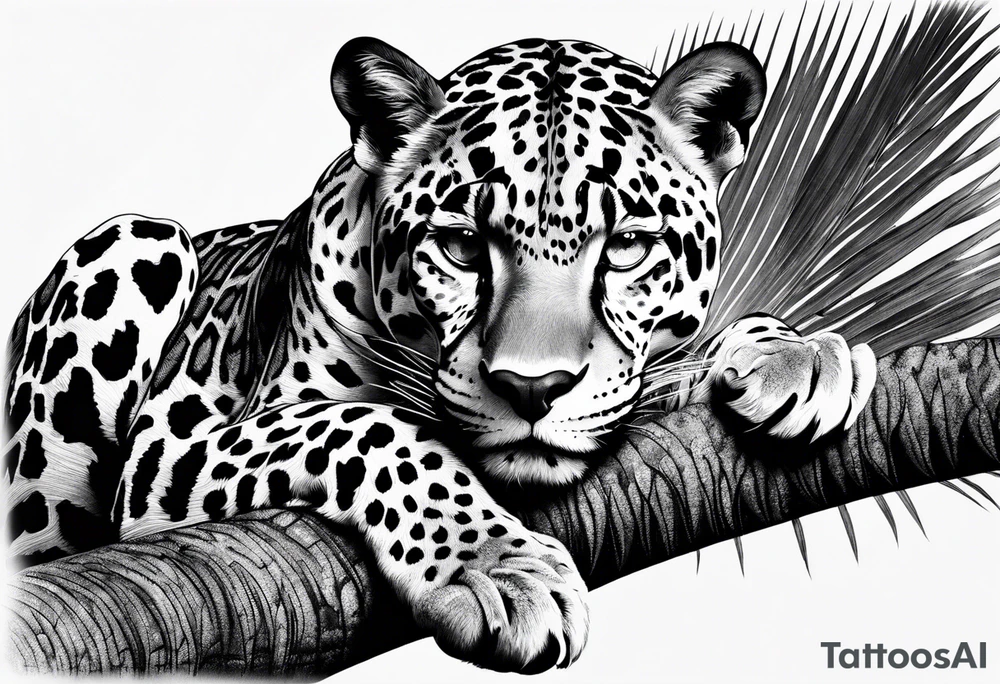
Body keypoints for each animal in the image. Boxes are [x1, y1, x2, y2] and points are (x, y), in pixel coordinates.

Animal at [4, 37, 876, 672]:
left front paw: (796, 355)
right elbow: (375, 427)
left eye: (628, 246)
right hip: (133, 245)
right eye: (459, 246)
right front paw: (502, 571)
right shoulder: (173, 453)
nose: (534, 388)